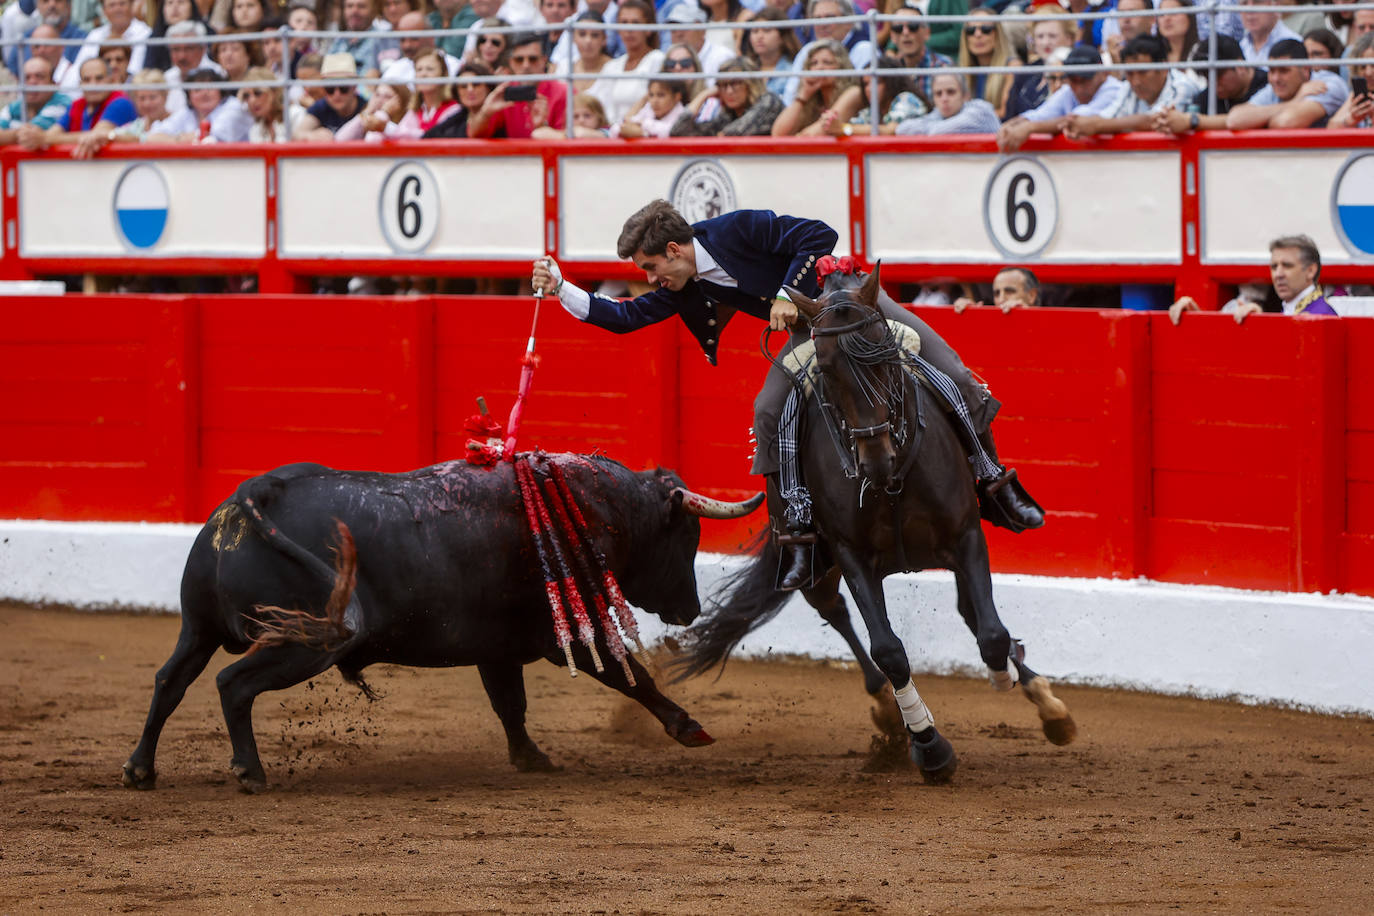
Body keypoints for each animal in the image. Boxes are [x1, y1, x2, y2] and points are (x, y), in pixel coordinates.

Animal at [123, 455, 763, 791]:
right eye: (686, 536)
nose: (691, 609)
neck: (589, 507)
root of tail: (257, 491)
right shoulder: (566, 635)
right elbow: (632, 675)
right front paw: (689, 727)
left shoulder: (498, 649)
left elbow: (510, 706)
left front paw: (531, 758)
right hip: (304, 643)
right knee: (232, 685)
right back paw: (250, 772)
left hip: (198, 627)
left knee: (169, 680)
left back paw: (139, 769)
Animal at [676, 263, 1071, 780]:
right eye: (825, 369)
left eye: (885, 353)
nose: (876, 459)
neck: (893, 479)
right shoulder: (852, 556)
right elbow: (888, 650)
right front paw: (929, 746)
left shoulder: (966, 537)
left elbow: (990, 632)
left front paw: (1009, 678)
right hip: (814, 562)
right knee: (836, 611)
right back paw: (886, 708)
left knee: (972, 614)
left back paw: (1045, 701)